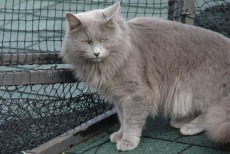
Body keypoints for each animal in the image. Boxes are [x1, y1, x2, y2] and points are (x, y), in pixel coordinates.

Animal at [61, 2, 230, 152]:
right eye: (87, 42)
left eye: (104, 40)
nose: (96, 53)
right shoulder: (119, 97)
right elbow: (122, 118)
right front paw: (120, 135)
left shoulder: (135, 94)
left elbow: (131, 120)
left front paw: (128, 141)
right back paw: (179, 121)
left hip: (193, 86)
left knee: (210, 111)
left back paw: (190, 126)